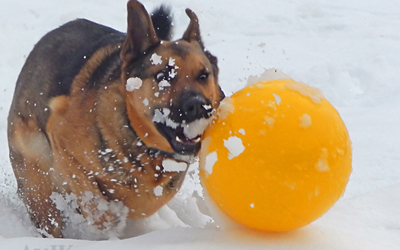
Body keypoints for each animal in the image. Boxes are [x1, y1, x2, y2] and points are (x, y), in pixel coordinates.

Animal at [7, 0, 225, 238]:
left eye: (203, 76)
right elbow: (90, 194)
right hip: (35, 162)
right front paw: (106, 225)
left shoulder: (151, 195)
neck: (141, 144)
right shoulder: (61, 138)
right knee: (48, 211)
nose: (198, 106)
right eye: (164, 76)